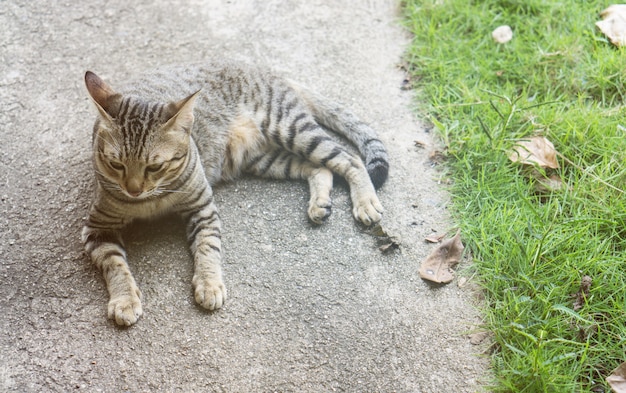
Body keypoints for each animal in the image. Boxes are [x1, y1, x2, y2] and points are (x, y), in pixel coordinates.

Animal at [81, 61, 388, 324]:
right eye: (116, 164)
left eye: (154, 166)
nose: (133, 190)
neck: (152, 200)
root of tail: (263, 68)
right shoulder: (97, 228)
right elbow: (115, 265)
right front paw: (124, 300)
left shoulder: (203, 207)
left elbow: (207, 247)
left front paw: (209, 283)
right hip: (264, 159)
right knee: (319, 168)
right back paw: (320, 203)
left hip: (290, 129)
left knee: (348, 158)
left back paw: (365, 202)